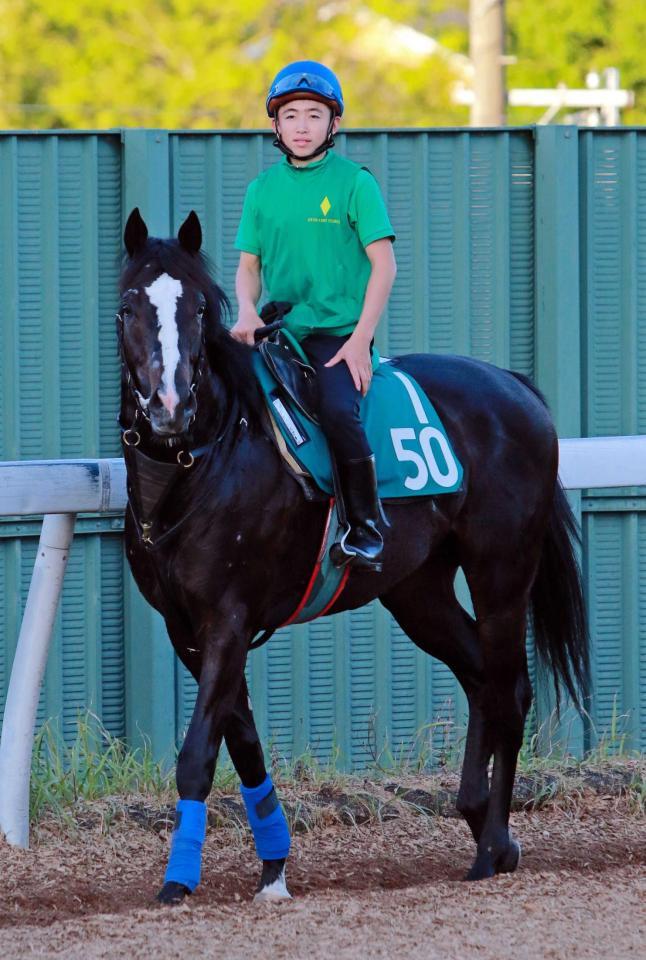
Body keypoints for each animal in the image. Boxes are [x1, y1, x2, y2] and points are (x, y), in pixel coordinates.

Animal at [119, 206, 588, 904]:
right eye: (129, 306)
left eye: (199, 309)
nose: (169, 406)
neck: (204, 460)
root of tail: (516, 387)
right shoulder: (188, 628)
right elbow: (243, 743)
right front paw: (273, 868)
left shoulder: (228, 618)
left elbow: (199, 754)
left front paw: (178, 882)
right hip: (418, 591)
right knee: (481, 676)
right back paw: (483, 823)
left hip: (502, 572)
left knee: (509, 686)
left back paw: (491, 847)